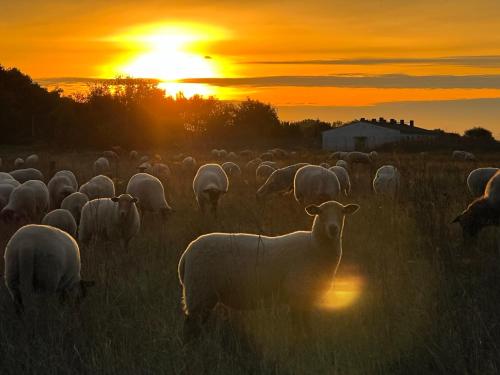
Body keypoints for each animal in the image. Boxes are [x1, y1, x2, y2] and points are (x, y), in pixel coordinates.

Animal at [179, 201, 360, 342]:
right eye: (320, 213)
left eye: (342, 212)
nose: (333, 229)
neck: (314, 247)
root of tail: (186, 254)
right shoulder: (297, 293)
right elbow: (297, 325)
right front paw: (299, 345)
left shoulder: (305, 298)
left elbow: (306, 324)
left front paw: (308, 340)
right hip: (199, 291)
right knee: (189, 327)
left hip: (204, 295)